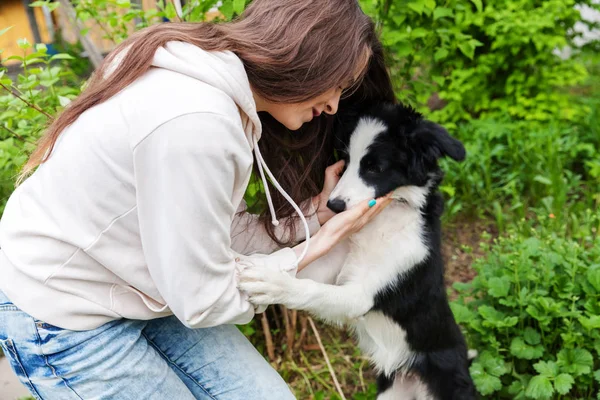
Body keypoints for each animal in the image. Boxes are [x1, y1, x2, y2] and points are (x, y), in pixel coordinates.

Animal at [239, 104, 478, 400]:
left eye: (374, 168)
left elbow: (310, 290)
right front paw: (258, 265)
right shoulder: (332, 262)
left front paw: (269, 283)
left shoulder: (362, 294)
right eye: (345, 160)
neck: (383, 222)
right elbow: (300, 266)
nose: (334, 205)